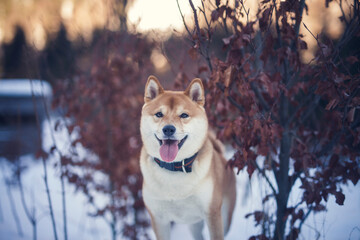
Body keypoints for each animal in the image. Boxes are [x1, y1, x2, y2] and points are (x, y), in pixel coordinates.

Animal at [140, 76, 236, 239]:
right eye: (159, 114)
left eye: (184, 115)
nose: (168, 129)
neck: (174, 168)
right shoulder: (159, 220)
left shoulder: (212, 214)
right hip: (194, 224)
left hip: (226, 218)